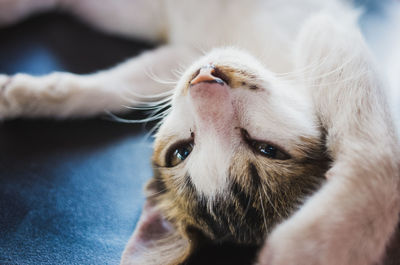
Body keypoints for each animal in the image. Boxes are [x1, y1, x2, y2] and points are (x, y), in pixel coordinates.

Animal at [0, 0, 400, 264]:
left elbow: (380, 147)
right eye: (180, 151)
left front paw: (325, 239)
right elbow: (118, 87)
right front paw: (23, 95)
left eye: (266, 149)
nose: (205, 83)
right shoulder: (184, 56)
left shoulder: (322, 27)